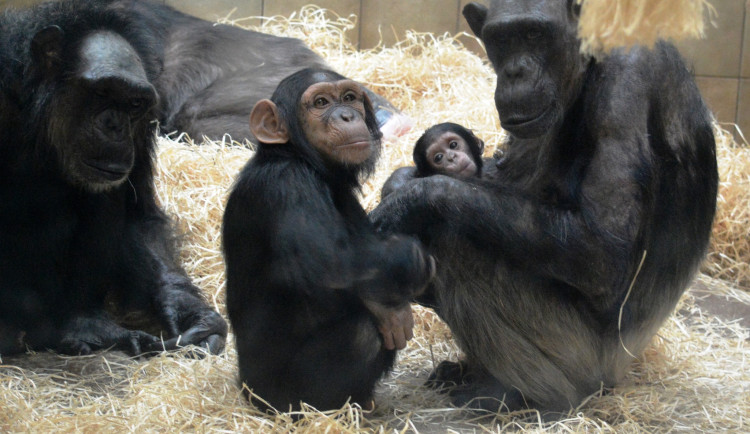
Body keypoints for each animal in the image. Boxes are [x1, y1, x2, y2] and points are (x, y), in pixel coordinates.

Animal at [0, 0, 226, 356]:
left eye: (133, 102)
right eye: (103, 90)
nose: (115, 125)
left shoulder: (145, 121)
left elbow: (139, 216)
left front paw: (192, 314)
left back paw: (83, 320)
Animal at [223, 67, 434, 410]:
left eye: (349, 98)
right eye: (321, 102)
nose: (347, 115)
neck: (302, 160)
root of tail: (243, 388)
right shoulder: (287, 186)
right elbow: (334, 262)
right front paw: (414, 263)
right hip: (272, 396)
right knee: (363, 334)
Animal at [374, 0, 720, 414]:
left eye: (534, 34)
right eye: (502, 38)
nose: (515, 70)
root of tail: (626, 370)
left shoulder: (625, 87)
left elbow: (602, 249)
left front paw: (413, 198)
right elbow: (506, 165)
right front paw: (400, 179)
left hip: (579, 355)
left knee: (454, 242)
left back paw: (514, 394)